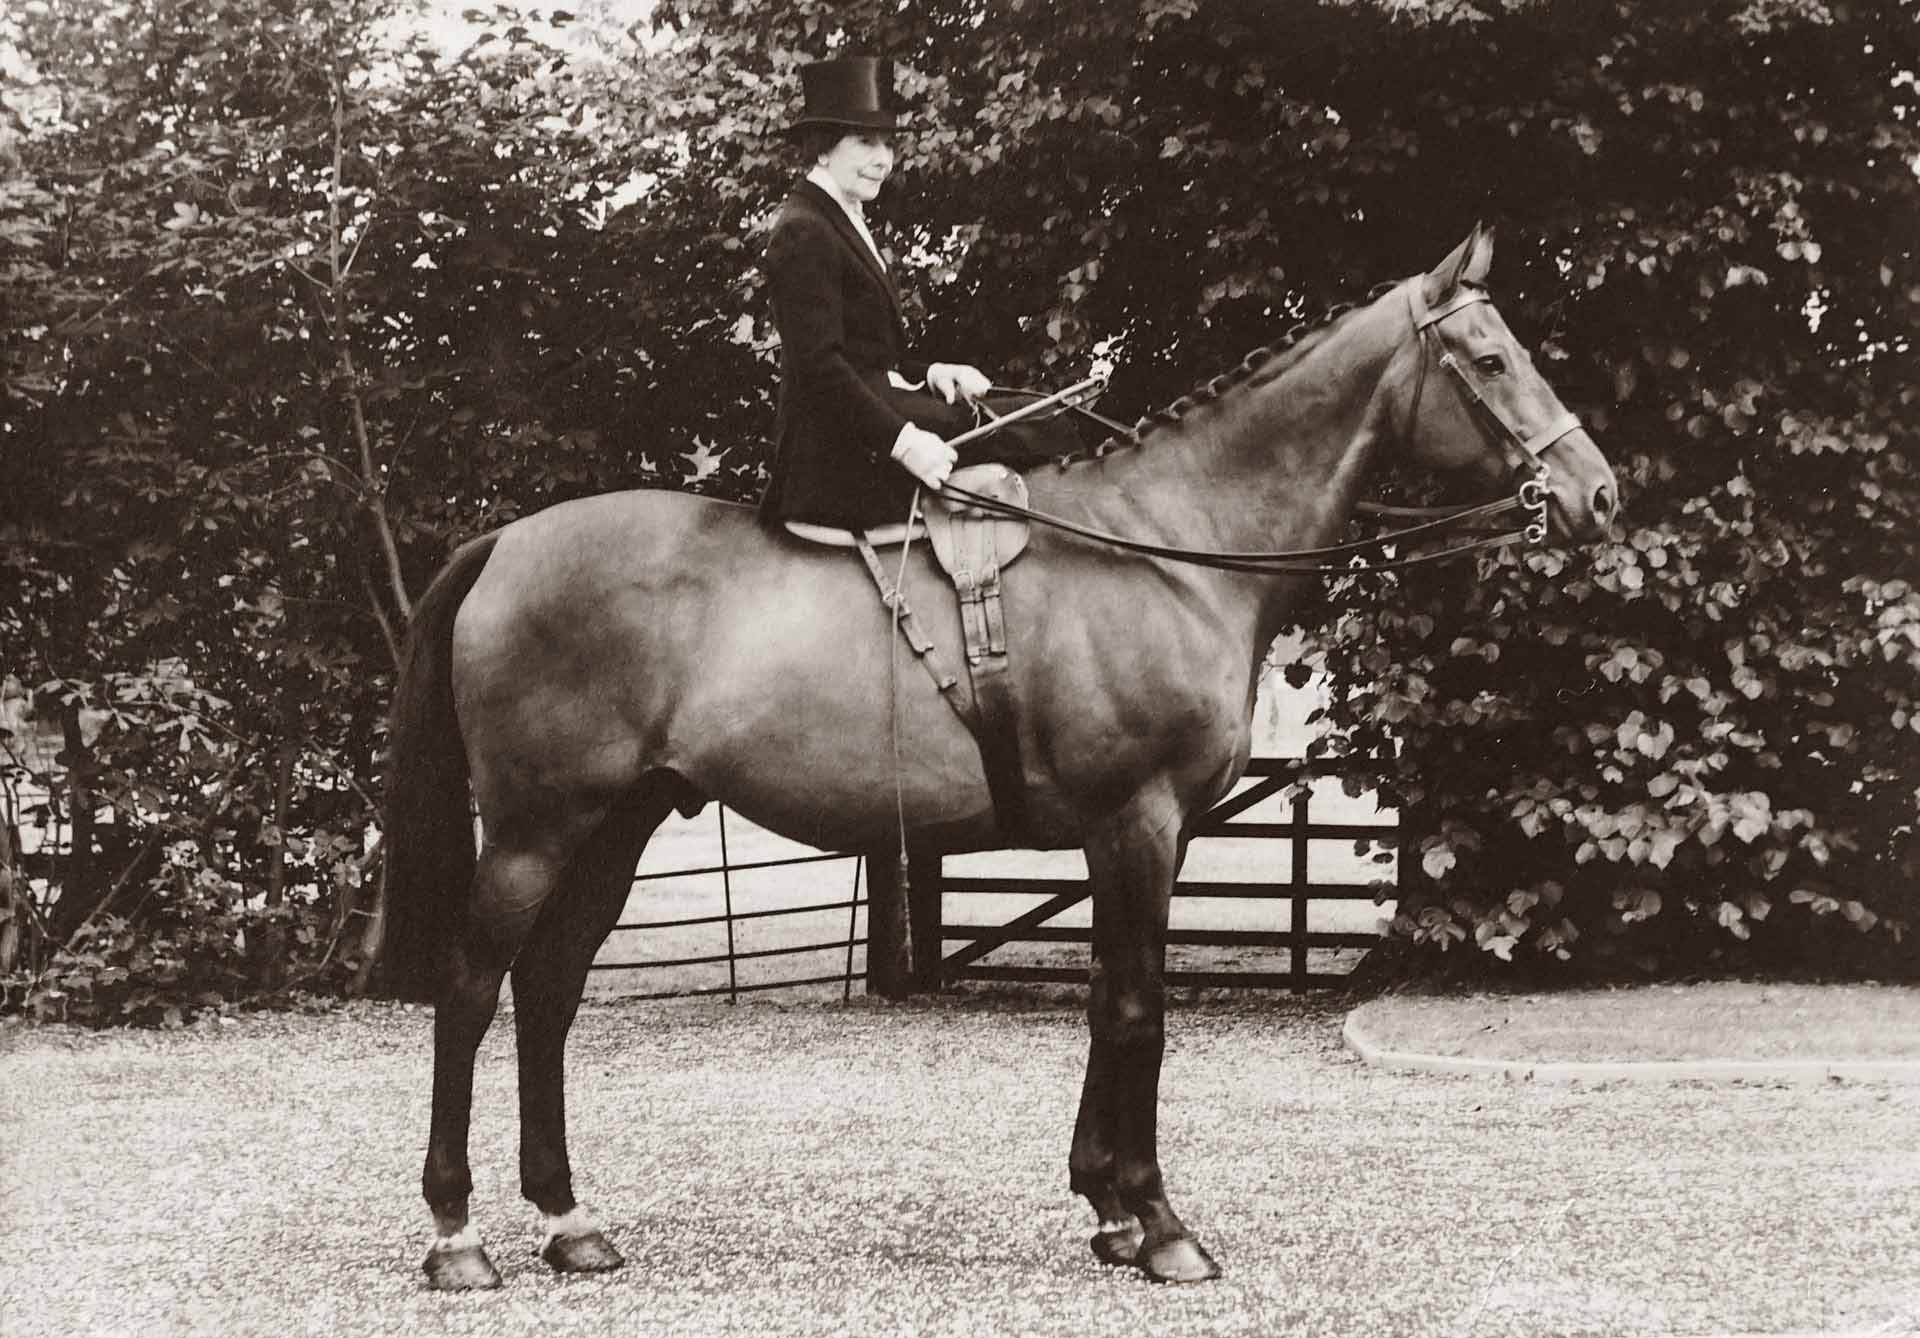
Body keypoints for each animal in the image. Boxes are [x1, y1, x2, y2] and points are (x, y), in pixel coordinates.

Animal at [377, 225, 1619, 1290]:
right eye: (1491, 359)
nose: (1596, 494)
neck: (1165, 549)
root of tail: (505, 542)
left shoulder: (1130, 838)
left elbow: (1108, 1002)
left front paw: (1108, 1209)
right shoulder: (1139, 824)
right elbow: (1138, 1009)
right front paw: (1159, 1224)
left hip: (619, 823)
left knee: (548, 990)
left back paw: (569, 1221)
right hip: (537, 830)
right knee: (473, 990)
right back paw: (457, 1235)